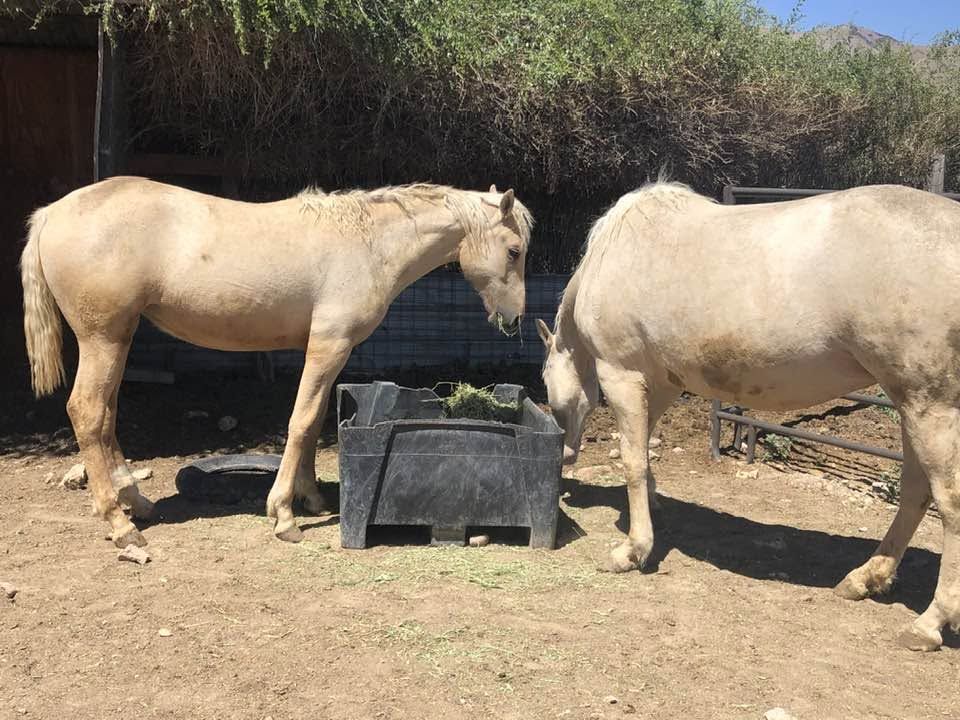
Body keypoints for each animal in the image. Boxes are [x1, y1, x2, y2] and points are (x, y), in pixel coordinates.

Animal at [22, 177, 532, 549]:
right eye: (514, 250)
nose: (514, 319)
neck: (369, 244)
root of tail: (53, 212)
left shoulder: (330, 350)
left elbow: (316, 419)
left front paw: (310, 498)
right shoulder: (328, 346)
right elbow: (301, 422)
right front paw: (284, 515)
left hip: (117, 339)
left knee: (106, 416)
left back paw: (137, 502)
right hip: (103, 339)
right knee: (88, 412)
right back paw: (120, 524)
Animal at [537, 181, 960, 651]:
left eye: (545, 381)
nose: (566, 455)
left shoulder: (623, 375)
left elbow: (632, 461)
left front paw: (633, 550)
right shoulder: (662, 382)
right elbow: (644, 452)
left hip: (931, 406)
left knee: (949, 503)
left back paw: (929, 622)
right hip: (910, 405)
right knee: (915, 493)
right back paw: (865, 579)